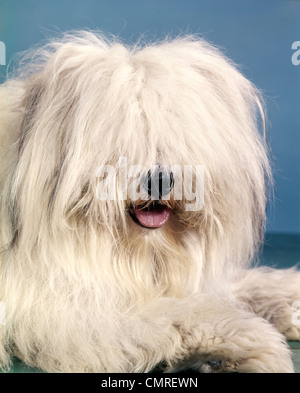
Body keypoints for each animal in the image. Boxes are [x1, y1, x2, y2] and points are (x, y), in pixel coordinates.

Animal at [0, 30, 298, 370]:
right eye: (120, 139)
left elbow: (241, 285)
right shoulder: (69, 314)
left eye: (178, 135)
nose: (159, 180)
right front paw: (257, 345)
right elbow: (186, 313)